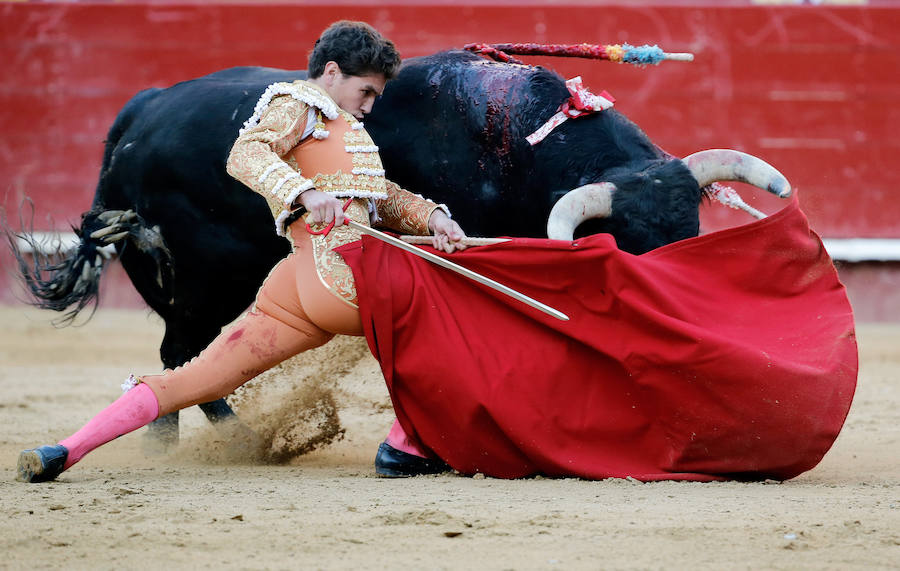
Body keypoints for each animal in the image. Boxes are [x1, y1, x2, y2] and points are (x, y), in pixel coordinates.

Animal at [7, 48, 788, 442]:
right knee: (182, 358)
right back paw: (203, 439)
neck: (515, 143)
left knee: (186, 359)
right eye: (628, 248)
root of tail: (142, 113)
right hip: (200, 285)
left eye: (691, 233)